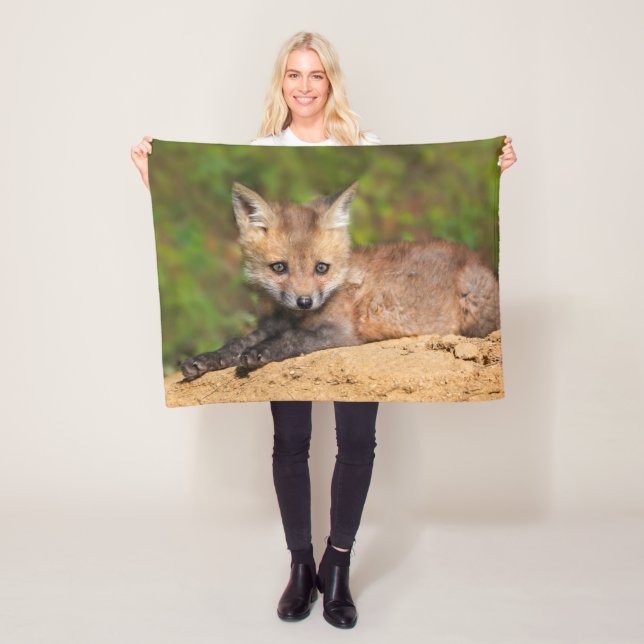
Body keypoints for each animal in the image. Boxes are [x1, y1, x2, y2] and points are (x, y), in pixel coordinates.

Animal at [179, 181, 500, 381]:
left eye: (321, 268)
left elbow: (293, 338)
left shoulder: (342, 334)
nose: (305, 301)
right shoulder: (269, 324)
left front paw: (261, 352)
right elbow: (236, 342)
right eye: (279, 267)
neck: (291, 316)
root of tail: (474, 257)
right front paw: (207, 358)